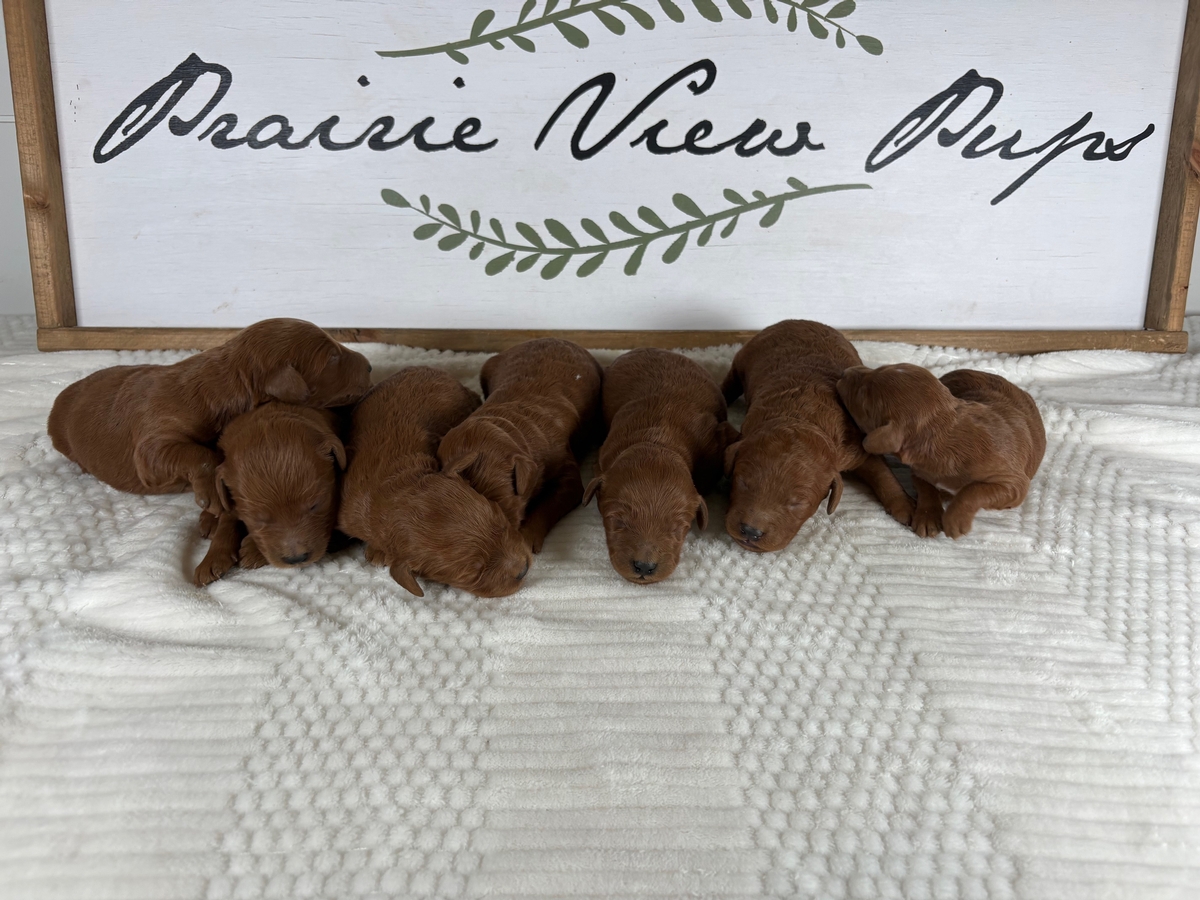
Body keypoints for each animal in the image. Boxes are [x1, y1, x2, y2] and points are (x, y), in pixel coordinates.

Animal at [48, 318, 371, 512]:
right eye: (332, 357)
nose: (369, 366)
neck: (225, 384)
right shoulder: (155, 439)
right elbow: (198, 454)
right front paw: (210, 495)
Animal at [191, 403, 346, 586]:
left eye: (315, 505)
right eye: (258, 519)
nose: (296, 559)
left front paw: (252, 550)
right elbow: (227, 521)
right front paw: (211, 560)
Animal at [722, 319, 915, 552]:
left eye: (797, 503)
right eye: (742, 482)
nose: (751, 531)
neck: (802, 416)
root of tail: (798, 320)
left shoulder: (856, 447)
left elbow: (883, 474)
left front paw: (905, 505)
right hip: (743, 358)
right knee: (730, 382)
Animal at [836, 364, 1045, 538]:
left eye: (862, 396)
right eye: (879, 368)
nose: (845, 372)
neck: (946, 432)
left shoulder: (1013, 482)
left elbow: (974, 490)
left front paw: (955, 520)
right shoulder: (919, 470)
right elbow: (926, 488)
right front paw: (927, 518)